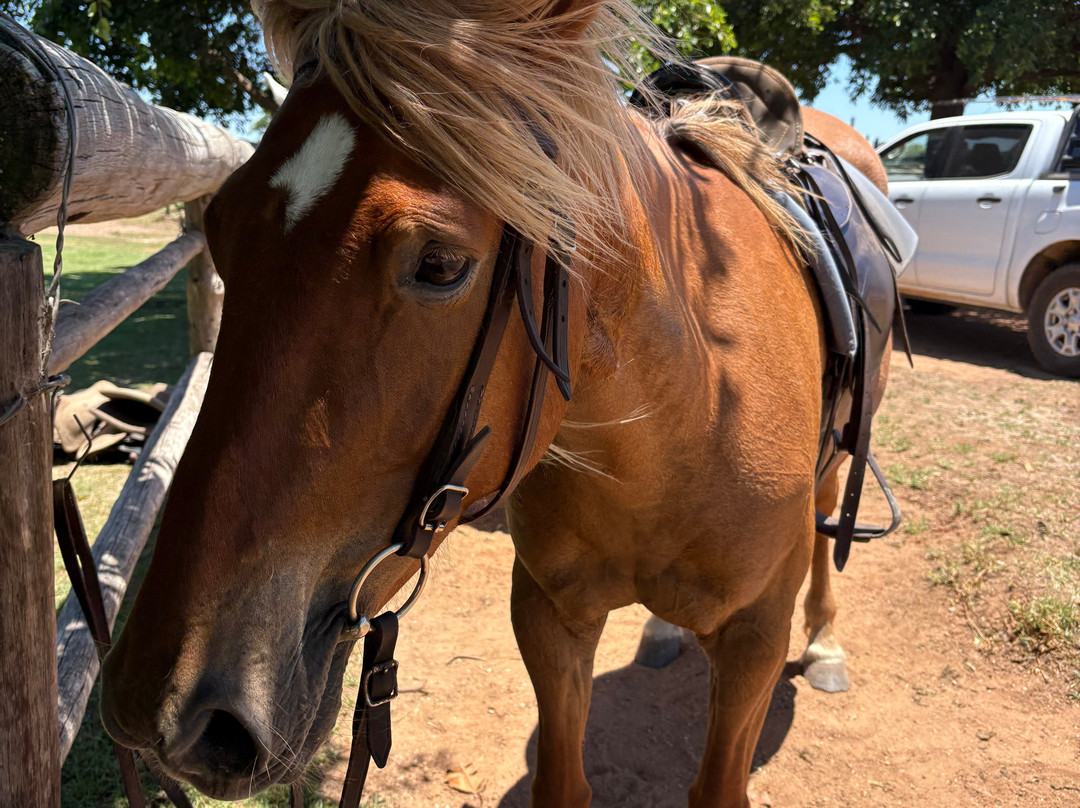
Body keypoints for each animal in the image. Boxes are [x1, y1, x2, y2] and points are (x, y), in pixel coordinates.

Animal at [100, 2, 891, 805]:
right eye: (220, 226)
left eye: (443, 264)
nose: (157, 705)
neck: (684, 415)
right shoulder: (549, 615)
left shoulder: (752, 642)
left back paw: (825, 644)